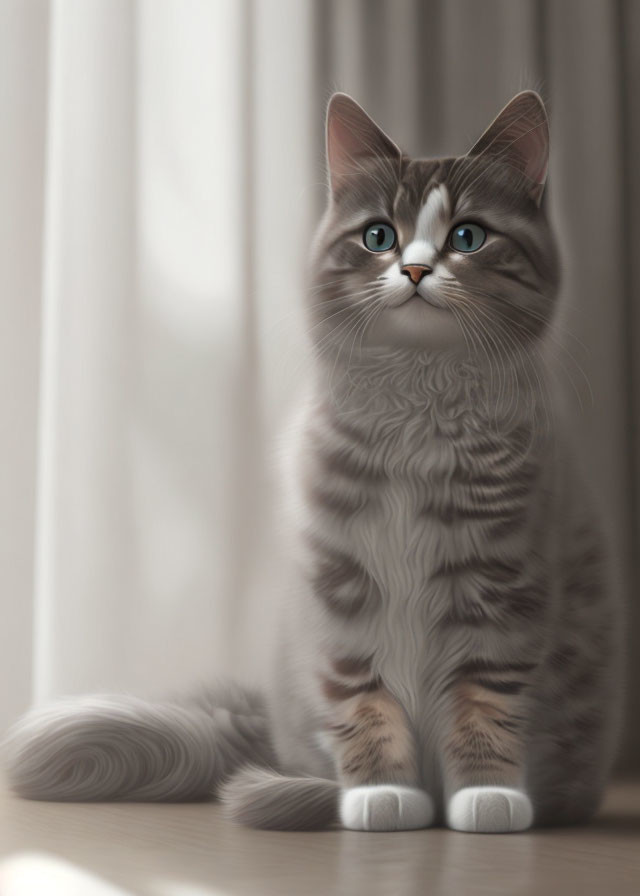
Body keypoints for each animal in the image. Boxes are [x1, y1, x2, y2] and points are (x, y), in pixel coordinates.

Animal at [5, 91, 624, 832]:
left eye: (468, 237)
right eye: (379, 237)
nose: (416, 270)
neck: (418, 408)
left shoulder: (502, 586)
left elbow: (485, 705)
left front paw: (487, 798)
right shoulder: (341, 587)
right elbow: (364, 705)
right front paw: (381, 794)